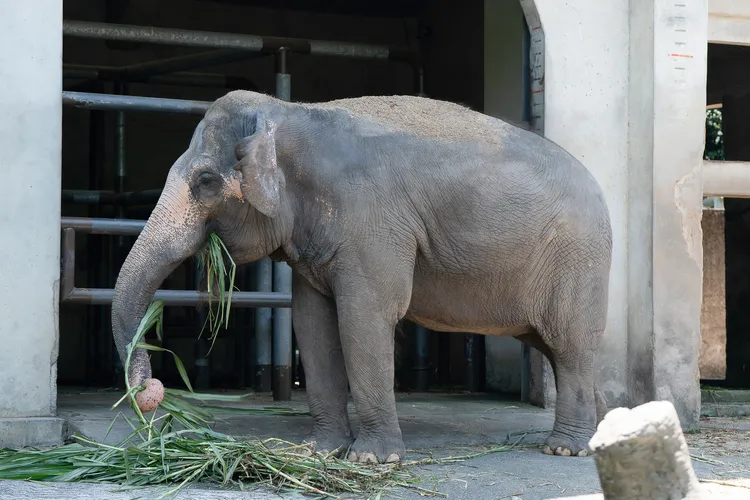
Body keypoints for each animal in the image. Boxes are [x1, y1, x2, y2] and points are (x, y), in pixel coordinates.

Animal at [111, 90, 613, 464]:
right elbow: (313, 326)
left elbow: (364, 317)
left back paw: (564, 449)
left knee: (568, 344)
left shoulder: (372, 220)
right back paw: (599, 433)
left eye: (205, 182)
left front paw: (372, 460)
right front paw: (318, 452)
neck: (290, 112)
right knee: (558, 348)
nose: (153, 393)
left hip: (578, 259)